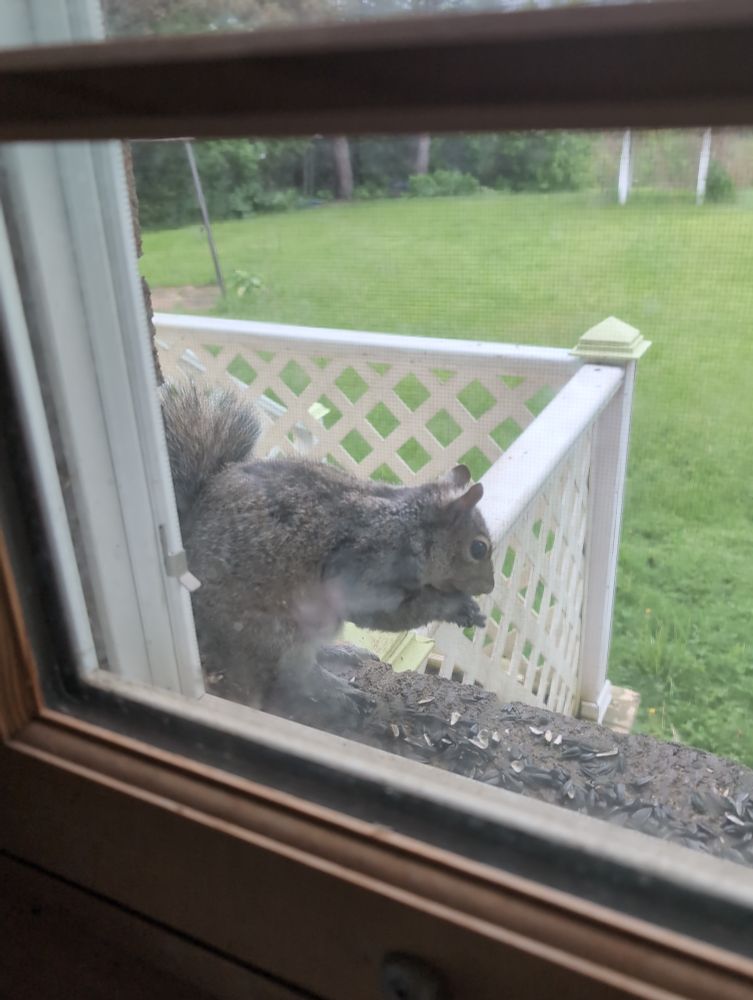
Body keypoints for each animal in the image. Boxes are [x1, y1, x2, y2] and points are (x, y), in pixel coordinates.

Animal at [161, 382, 495, 717]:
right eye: (479, 548)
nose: (490, 586)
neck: (409, 527)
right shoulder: (367, 568)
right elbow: (388, 613)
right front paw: (456, 607)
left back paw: (342, 652)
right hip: (281, 627)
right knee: (295, 673)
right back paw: (334, 689)